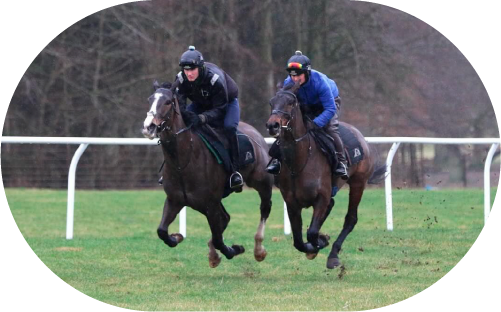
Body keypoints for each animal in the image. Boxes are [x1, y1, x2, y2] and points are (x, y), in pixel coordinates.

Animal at [141, 81, 274, 268]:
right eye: (150, 99)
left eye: (168, 102)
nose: (149, 127)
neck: (182, 162)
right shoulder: (176, 200)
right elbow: (161, 231)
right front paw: (177, 237)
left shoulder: (210, 204)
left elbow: (219, 239)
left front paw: (234, 249)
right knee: (225, 218)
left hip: (262, 182)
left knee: (264, 208)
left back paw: (258, 249)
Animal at [264, 81, 384, 270]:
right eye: (271, 102)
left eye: (291, 102)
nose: (272, 125)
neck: (300, 160)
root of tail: (361, 137)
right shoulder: (291, 202)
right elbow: (298, 240)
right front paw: (313, 246)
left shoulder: (321, 196)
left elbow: (312, 232)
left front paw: (321, 241)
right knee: (332, 206)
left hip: (358, 182)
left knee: (350, 219)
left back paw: (333, 255)